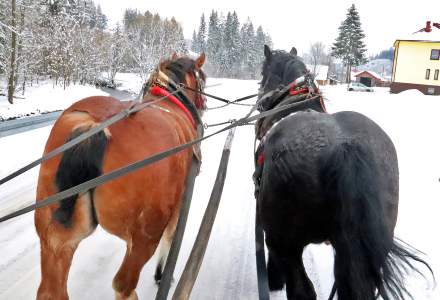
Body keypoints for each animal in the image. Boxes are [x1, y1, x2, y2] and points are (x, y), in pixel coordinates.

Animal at [34, 52, 206, 298]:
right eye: (202, 78)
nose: (203, 106)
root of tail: (94, 126)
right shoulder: (179, 202)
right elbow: (171, 238)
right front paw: (161, 274)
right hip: (144, 236)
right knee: (123, 284)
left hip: (54, 237)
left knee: (50, 288)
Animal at [253, 45, 432, 300]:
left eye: (262, 73)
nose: (260, 102)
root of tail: (345, 147)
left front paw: (274, 279)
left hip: (288, 244)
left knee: (302, 290)